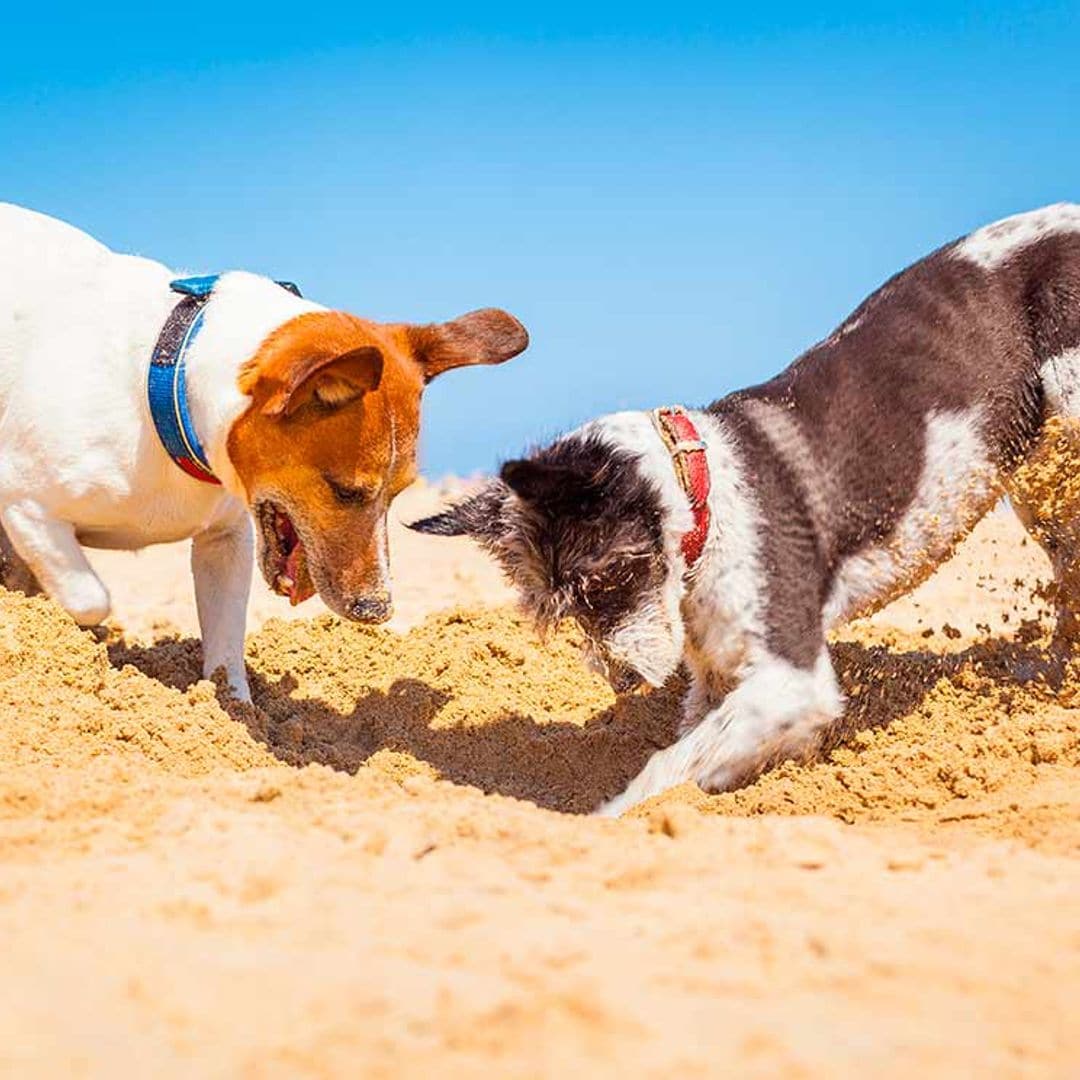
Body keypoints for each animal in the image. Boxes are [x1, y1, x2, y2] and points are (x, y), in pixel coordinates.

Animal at [0, 205, 527, 699]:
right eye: (344, 491)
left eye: (399, 493)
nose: (378, 610)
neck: (167, 383)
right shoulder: (28, 508)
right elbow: (90, 598)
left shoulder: (227, 539)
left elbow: (226, 644)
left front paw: (233, 708)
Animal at [410, 200, 1080, 812]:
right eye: (560, 608)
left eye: (603, 581)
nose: (623, 680)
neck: (706, 497)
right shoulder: (718, 674)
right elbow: (702, 741)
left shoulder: (794, 679)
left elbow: (666, 765)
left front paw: (607, 818)